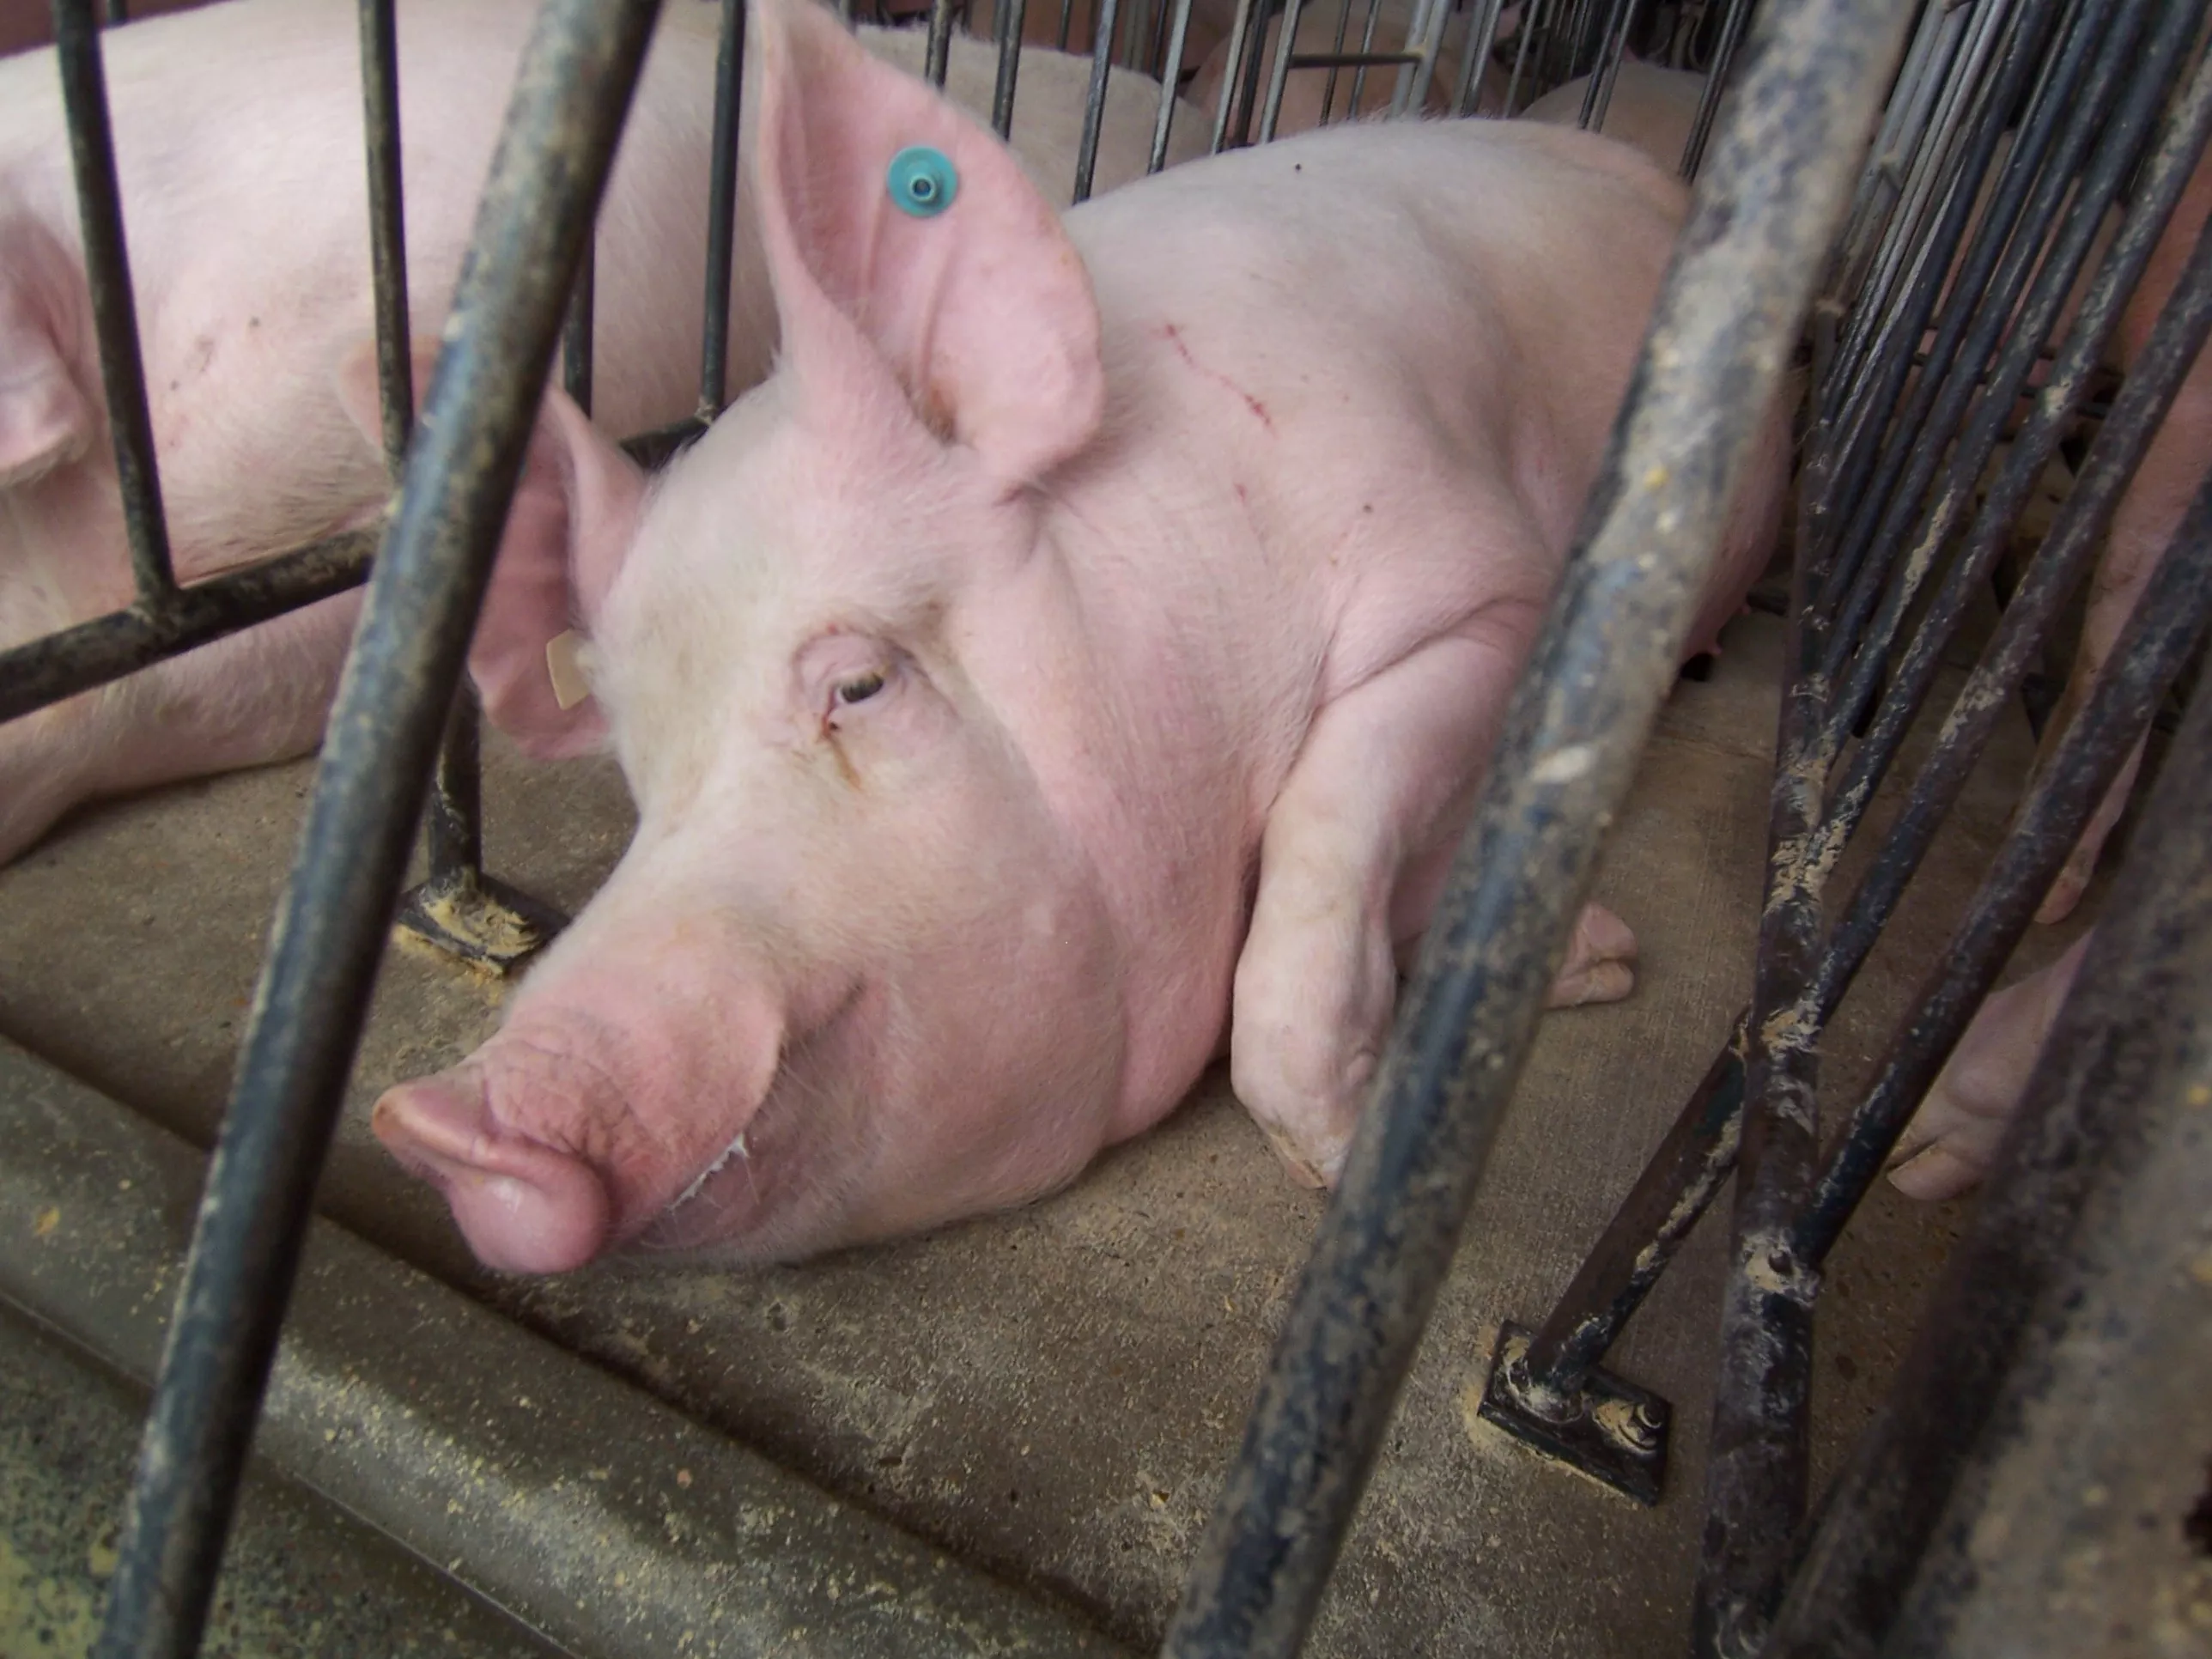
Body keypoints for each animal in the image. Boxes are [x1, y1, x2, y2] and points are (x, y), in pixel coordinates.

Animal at [367, 0, 1789, 1273]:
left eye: (859, 685)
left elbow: (1324, 839)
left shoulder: (1493, 587)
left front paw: (1552, 1001)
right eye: (635, 771)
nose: (440, 1126)